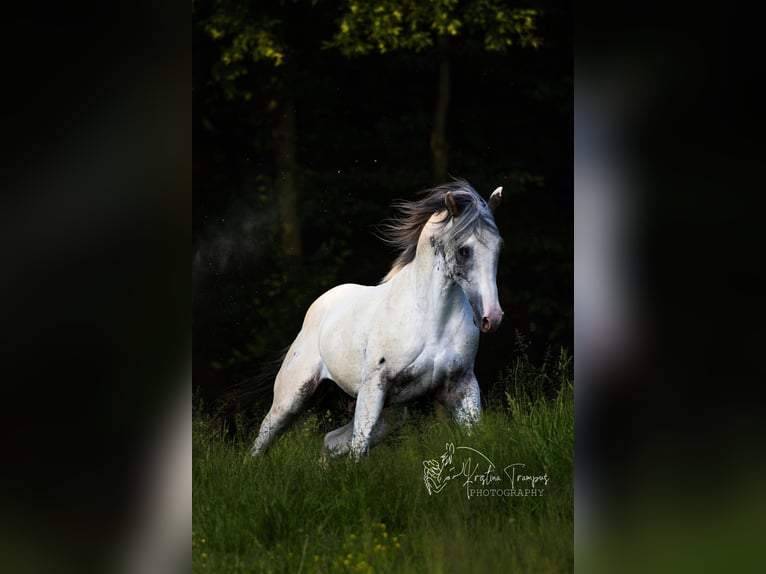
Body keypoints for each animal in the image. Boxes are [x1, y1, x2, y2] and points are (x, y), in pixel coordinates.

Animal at [250, 180, 504, 460]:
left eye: (498, 247)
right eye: (464, 250)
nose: (492, 317)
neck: (430, 320)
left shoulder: (462, 384)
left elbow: (475, 436)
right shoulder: (374, 387)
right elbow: (359, 450)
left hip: (390, 414)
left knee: (330, 441)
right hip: (292, 399)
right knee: (261, 441)